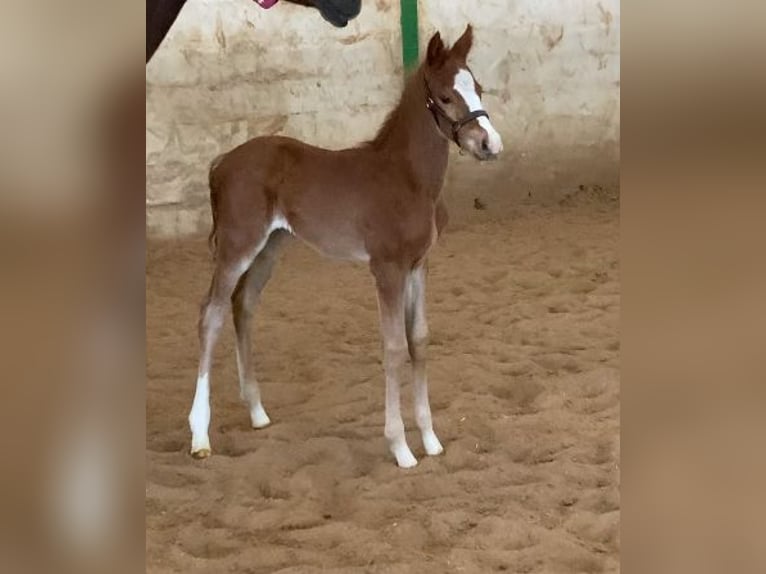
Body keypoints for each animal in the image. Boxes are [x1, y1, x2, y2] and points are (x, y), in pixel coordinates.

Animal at [188, 24, 504, 468]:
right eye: (445, 97)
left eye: (478, 88)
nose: (490, 144)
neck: (407, 178)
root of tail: (220, 162)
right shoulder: (387, 268)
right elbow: (394, 346)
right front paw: (401, 448)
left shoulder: (419, 264)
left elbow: (419, 340)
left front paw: (431, 440)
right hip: (237, 245)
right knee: (211, 314)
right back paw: (200, 435)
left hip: (270, 247)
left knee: (243, 305)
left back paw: (257, 412)